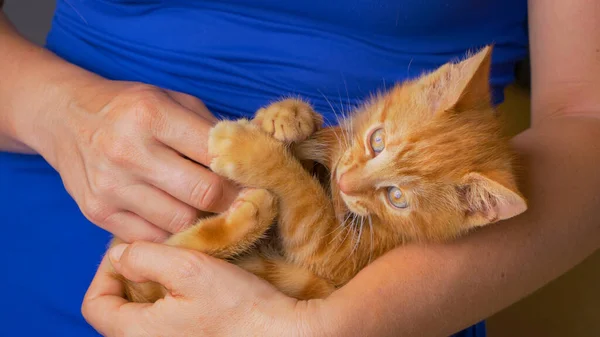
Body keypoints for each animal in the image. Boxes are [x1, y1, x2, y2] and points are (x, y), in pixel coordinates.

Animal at [111, 44, 524, 300]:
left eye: (397, 197)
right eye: (377, 141)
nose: (344, 182)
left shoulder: (338, 252)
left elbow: (304, 203)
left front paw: (249, 150)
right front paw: (287, 116)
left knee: (148, 266)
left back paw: (253, 213)